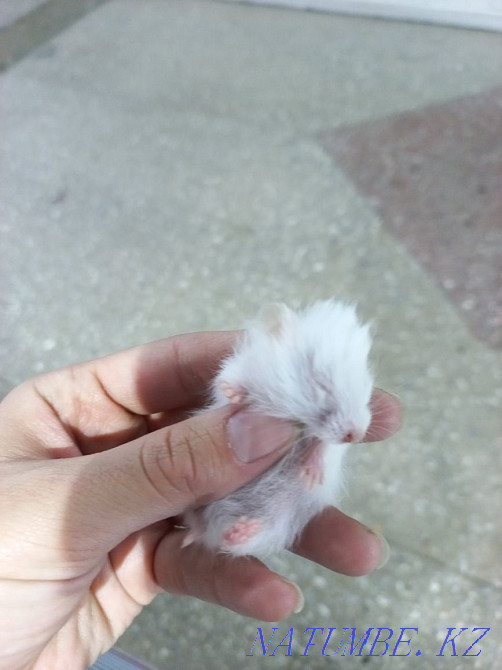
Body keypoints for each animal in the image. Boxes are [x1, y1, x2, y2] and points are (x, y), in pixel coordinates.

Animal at [182, 299, 374, 558]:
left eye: (365, 386)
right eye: (321, 382)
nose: (357, 435)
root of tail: (211, 527)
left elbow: (325, 446)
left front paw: (310, 475)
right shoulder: (235, 370)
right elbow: (227, 385)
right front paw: (235, 393)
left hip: (276, 523)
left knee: (230, 542)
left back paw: (241, 530)